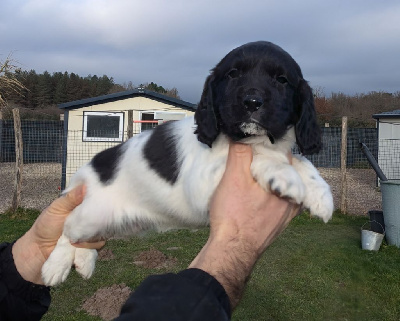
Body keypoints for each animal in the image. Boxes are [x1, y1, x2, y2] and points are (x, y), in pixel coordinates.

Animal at [42, 40, 332, 284]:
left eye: (282, 80)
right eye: (233, 74)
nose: (252, 102)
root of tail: (85, 172)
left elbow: (300, 159)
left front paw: (320, 194)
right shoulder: (202, 182)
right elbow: (265, 154)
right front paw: (284, 174)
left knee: (85, 241)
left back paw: (84, 262)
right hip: (89, 215)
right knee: (66, 230)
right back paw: (55, 267)